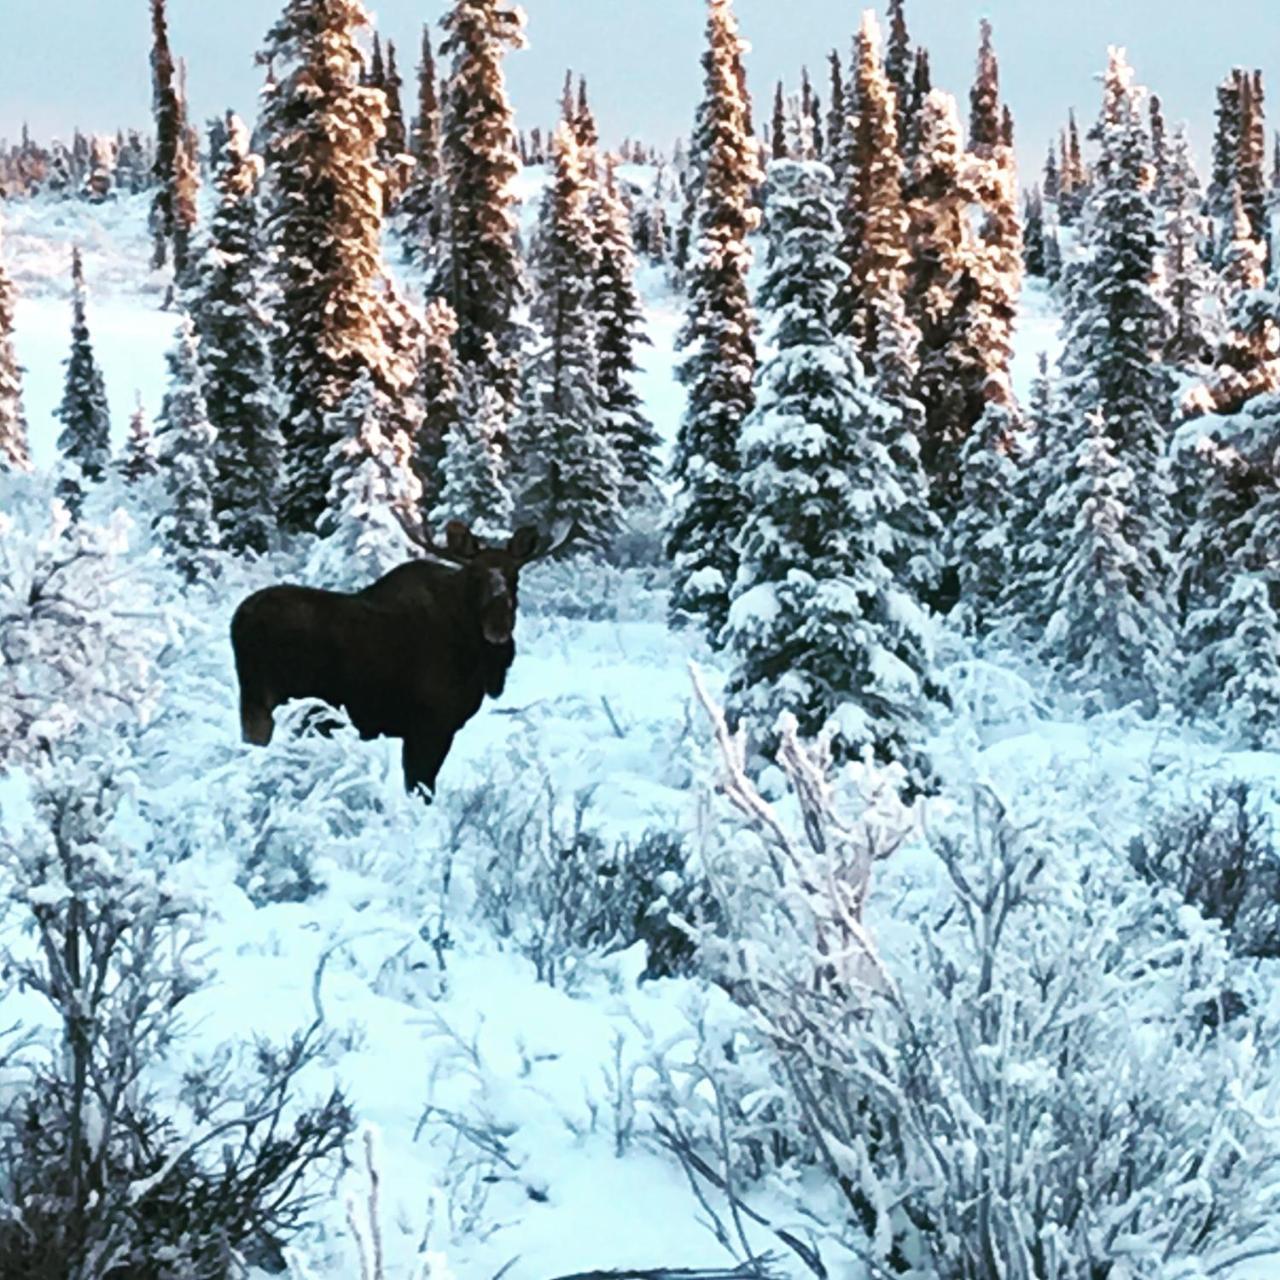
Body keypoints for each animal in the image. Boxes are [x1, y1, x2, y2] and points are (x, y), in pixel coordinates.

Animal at [232, 517, 552, 793]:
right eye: (475, 577)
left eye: (515, 577)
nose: (498, 625)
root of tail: (238, 621)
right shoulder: (431, 724)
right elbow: (421, 787)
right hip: (272, 705)